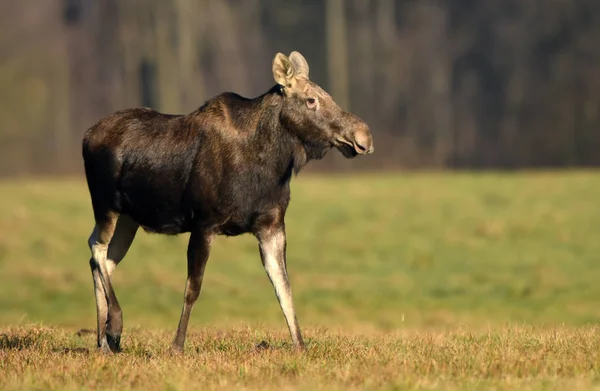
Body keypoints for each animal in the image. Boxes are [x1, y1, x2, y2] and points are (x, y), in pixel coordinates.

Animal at [82, 50, 372, 354]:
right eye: (311, 100)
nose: (363, 136)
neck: (269, 164)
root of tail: (86, 136)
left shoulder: (272, 225)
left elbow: (284, 289)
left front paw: (301, 347)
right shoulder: (204, 222)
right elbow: (193, 289)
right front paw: (177, 347)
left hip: (129, 218)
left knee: (105, 260)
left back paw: (104, 340)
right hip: (105, 205)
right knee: (96, 248)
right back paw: (113, 328)